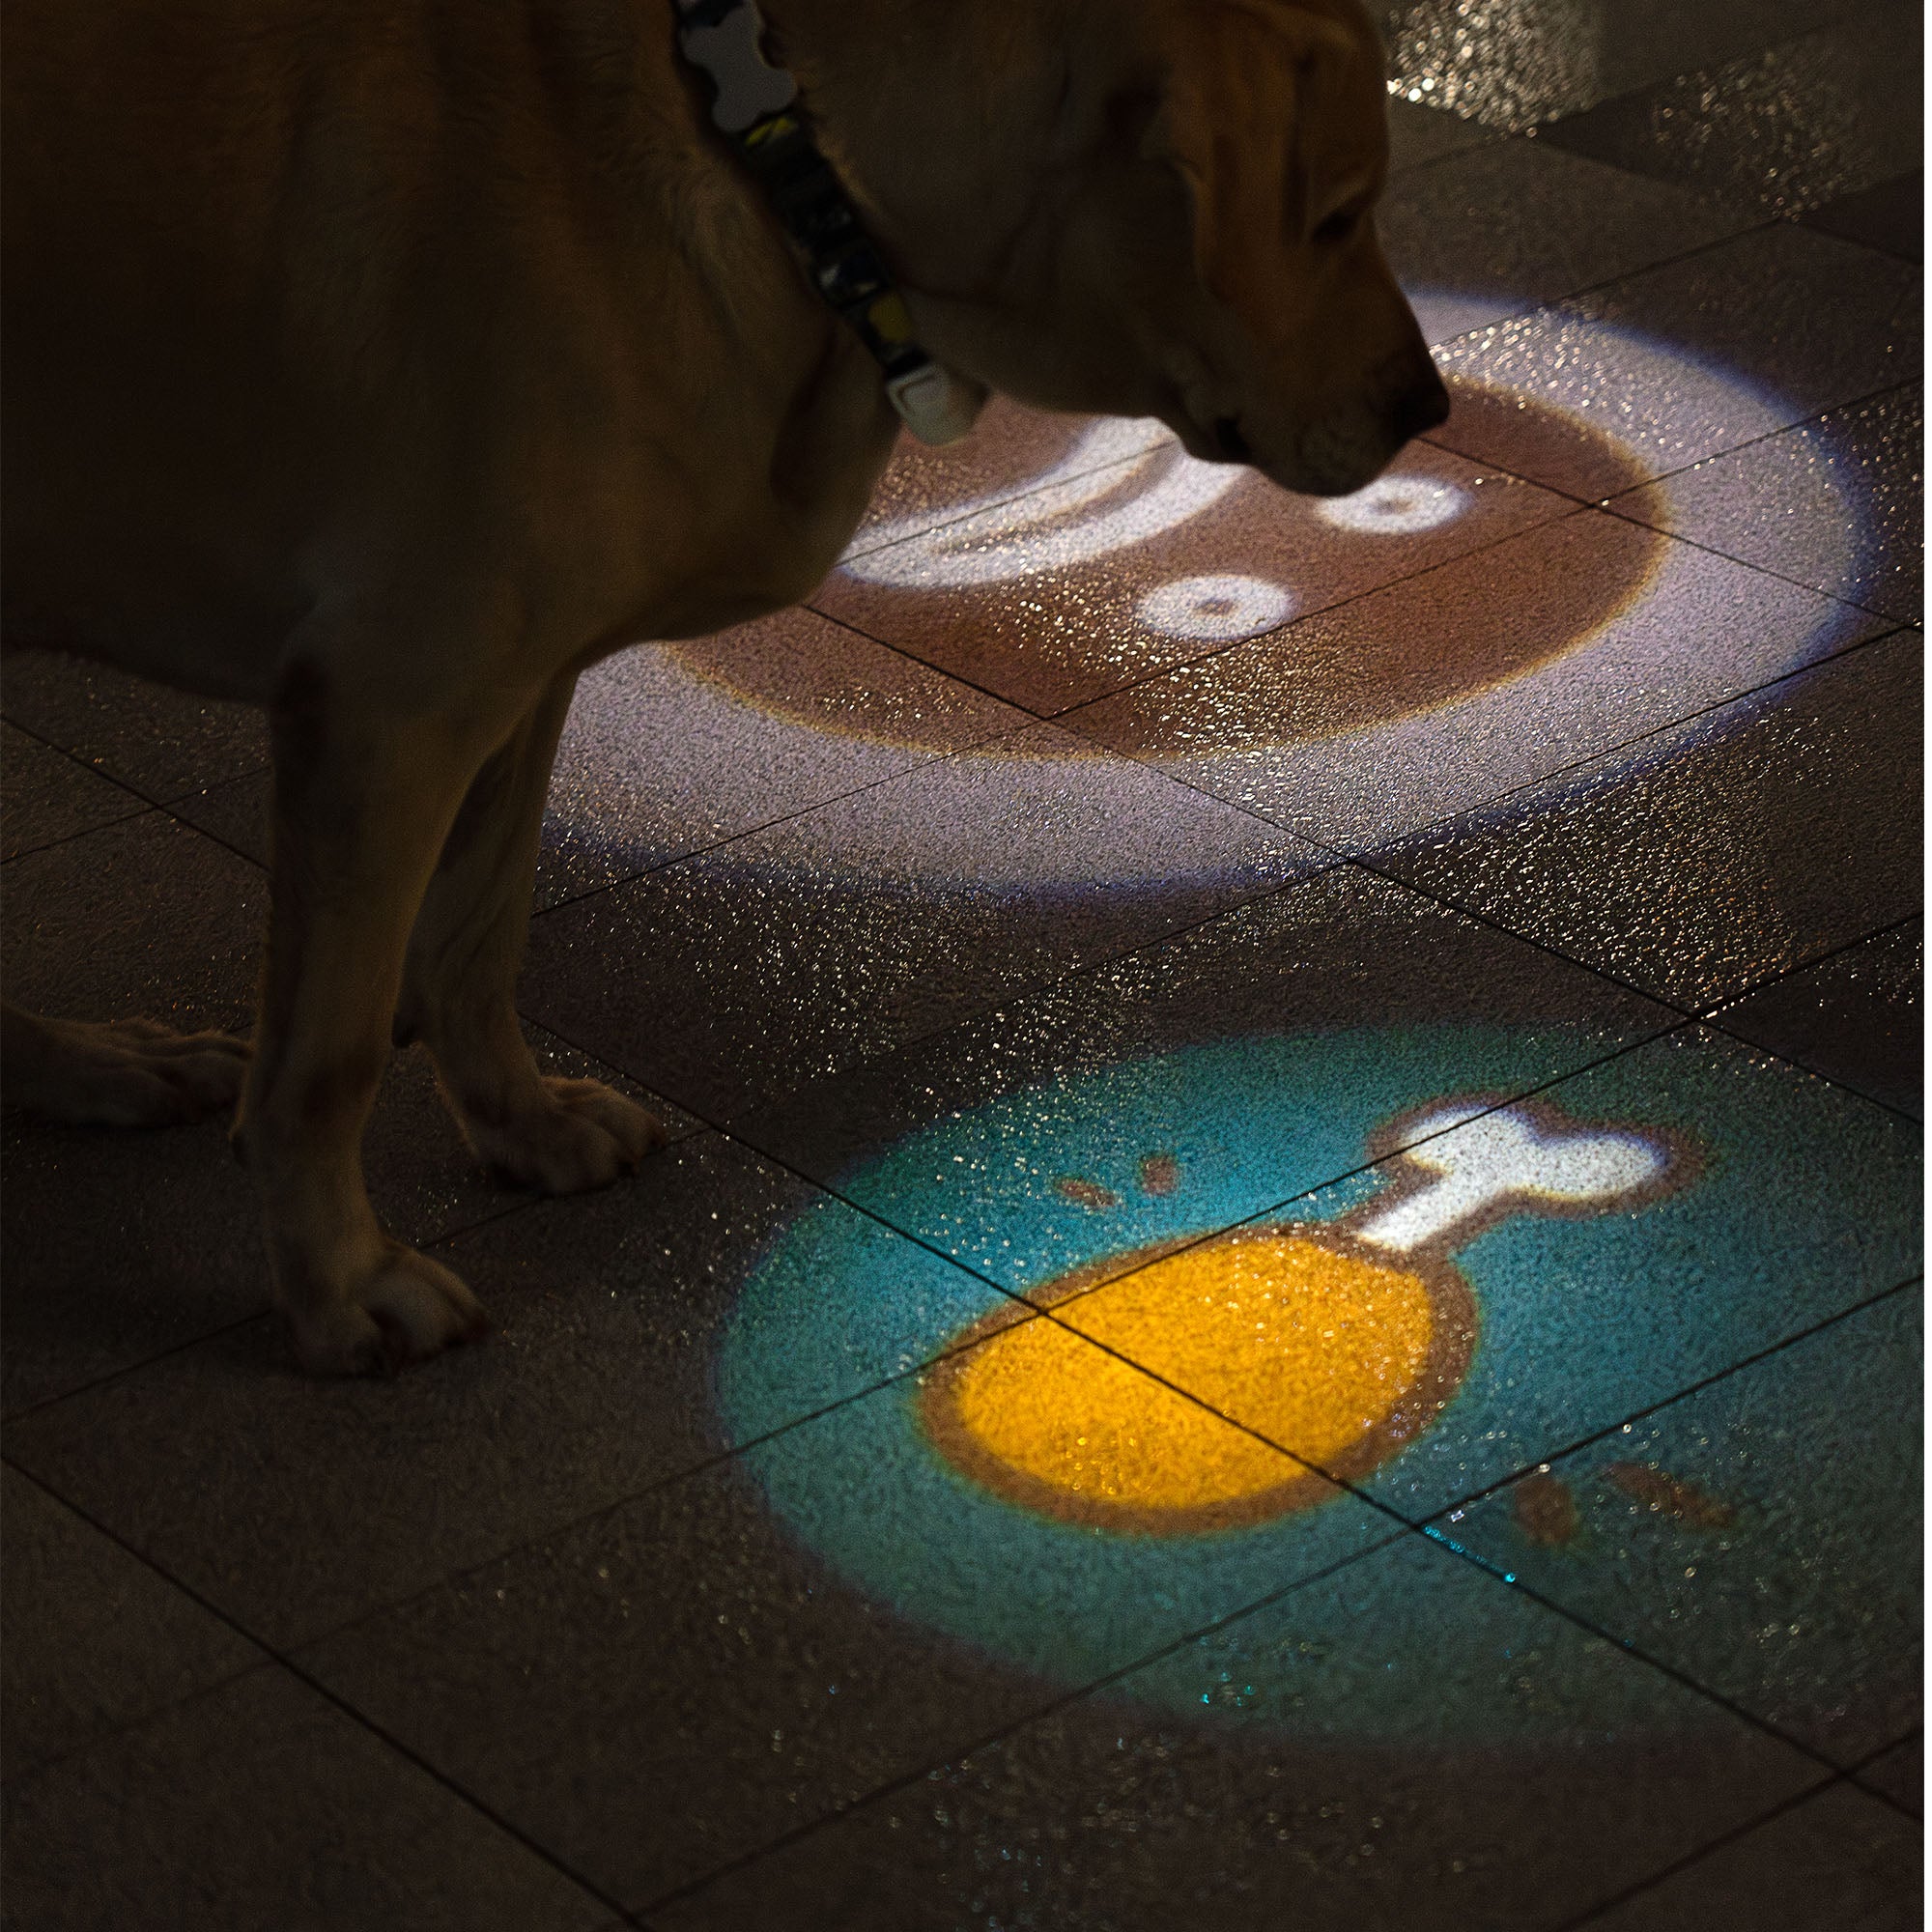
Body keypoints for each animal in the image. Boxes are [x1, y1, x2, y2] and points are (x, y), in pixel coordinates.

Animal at [3, 0, 1453, 1376]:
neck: (782, 153)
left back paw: (88, 1065)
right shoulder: (389, 707)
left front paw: (517, 1121)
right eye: (1332, 215)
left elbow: (478, 931)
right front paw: (339, 1285)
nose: (1427, 406)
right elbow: (330, 1053)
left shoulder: (513, 685)